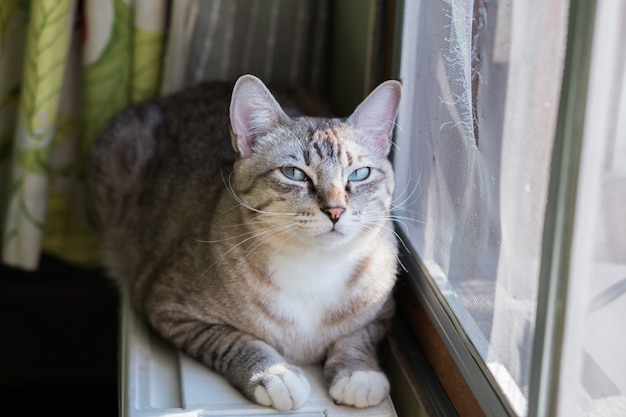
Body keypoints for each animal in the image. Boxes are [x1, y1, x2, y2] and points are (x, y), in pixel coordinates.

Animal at [84, 74, 400, 410]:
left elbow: (358, 337)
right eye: (294, 174)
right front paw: (274, 375)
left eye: (360, 174)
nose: (336, 210)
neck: (315, 266)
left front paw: (359, 374)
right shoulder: (171, 311)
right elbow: (237, 341)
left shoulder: (383, 311)